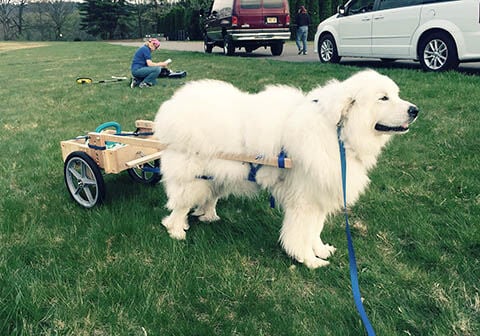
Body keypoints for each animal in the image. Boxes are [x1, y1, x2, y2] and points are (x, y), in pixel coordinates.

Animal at [156, 70, 418, 268]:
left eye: (396, 95)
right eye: (383, 98)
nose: (415, 110)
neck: (337, 132)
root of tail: (173, 105)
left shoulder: (318, 197)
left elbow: (315, 231)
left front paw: (320, 250)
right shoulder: (304, 202)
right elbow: (301, 234)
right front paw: (309, 260)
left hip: (217, 176)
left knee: (207, 198)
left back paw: (208, 216)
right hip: (193, 177)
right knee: (180, 206)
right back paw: (177, 230)